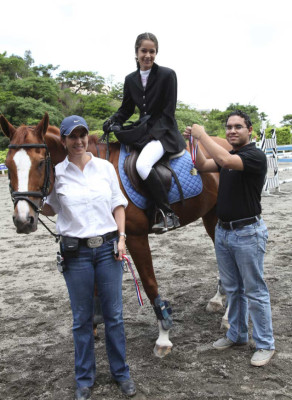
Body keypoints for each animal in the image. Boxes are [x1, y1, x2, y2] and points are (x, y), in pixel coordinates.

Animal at [0, 114, 230, 358]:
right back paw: (218, 299)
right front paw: (93, 326)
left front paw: (163, 337)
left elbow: (149, 283)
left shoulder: (135, 237)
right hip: (210, 216)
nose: (23, 220)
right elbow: (93, 286)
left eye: (41, 163)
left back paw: (227, 318)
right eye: (9, 164)